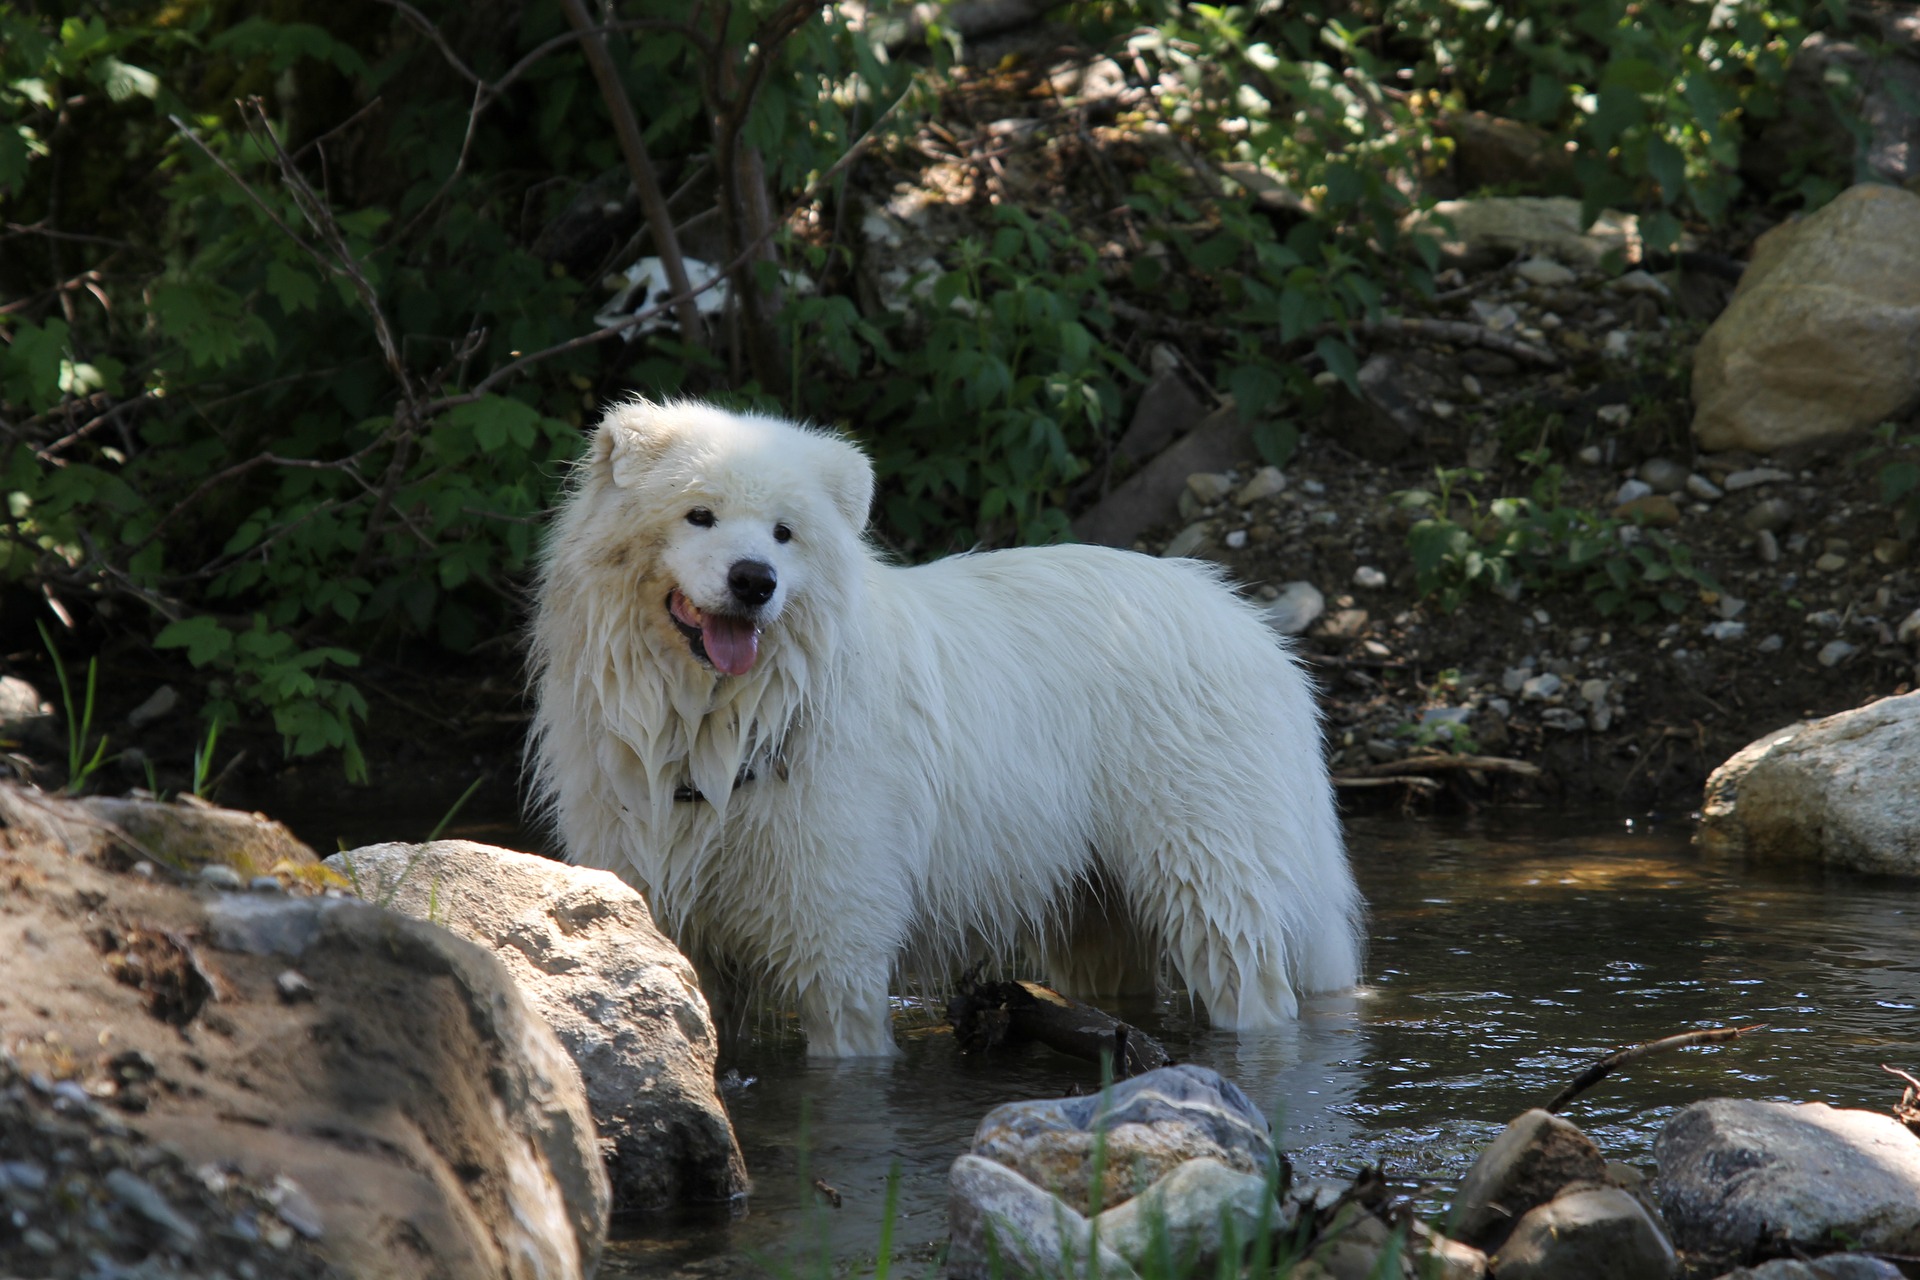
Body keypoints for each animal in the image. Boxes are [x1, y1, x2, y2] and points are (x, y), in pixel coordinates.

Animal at [526, 402, 1367, 1059]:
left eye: (784, 533)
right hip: (1096, 906)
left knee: (1254, 984)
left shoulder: (837, 940)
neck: (719, 724)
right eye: (698, 514)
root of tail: (1256, 632)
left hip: (1208, 874)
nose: (753, 581)